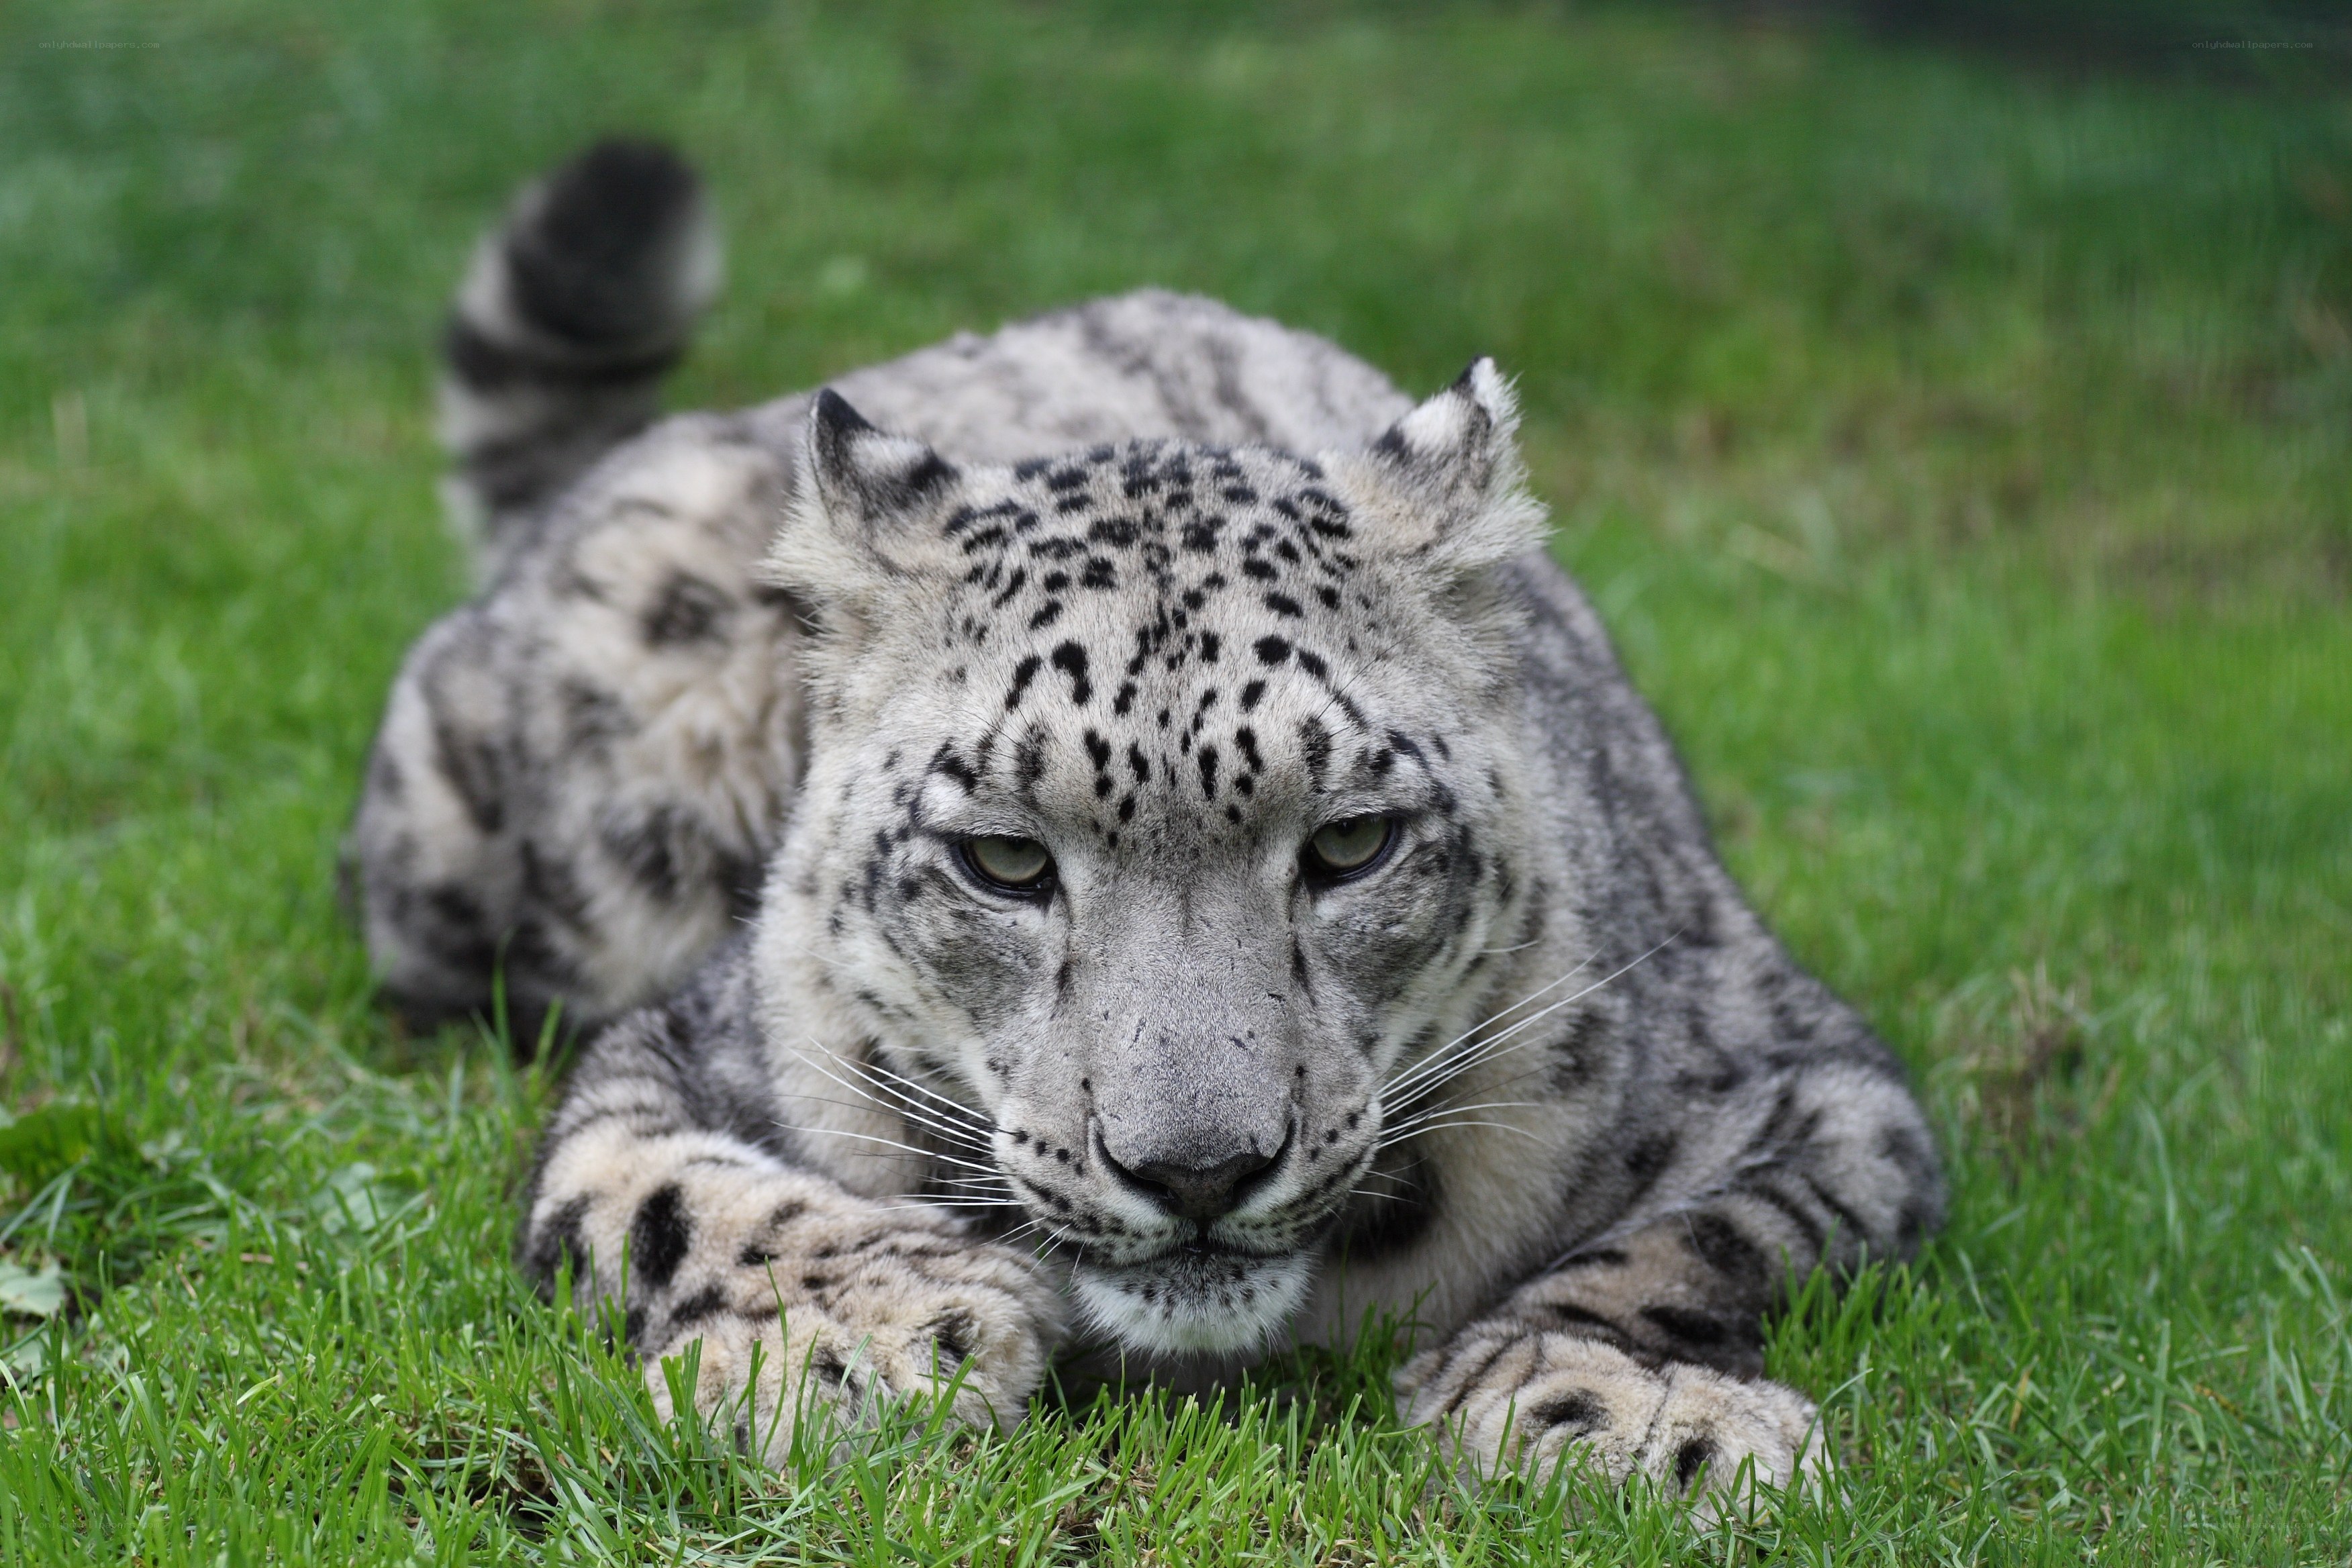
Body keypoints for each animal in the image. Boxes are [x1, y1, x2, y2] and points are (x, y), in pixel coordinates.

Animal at [347, 140, 1944, 1513]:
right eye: (1002, 858)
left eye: (1350, 843)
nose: (1195, 1171)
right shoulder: (696, 1051)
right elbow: (659, 1190)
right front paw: (873, 1336)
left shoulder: (1810, 1082)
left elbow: (1702, 1235)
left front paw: (1630, 1408)